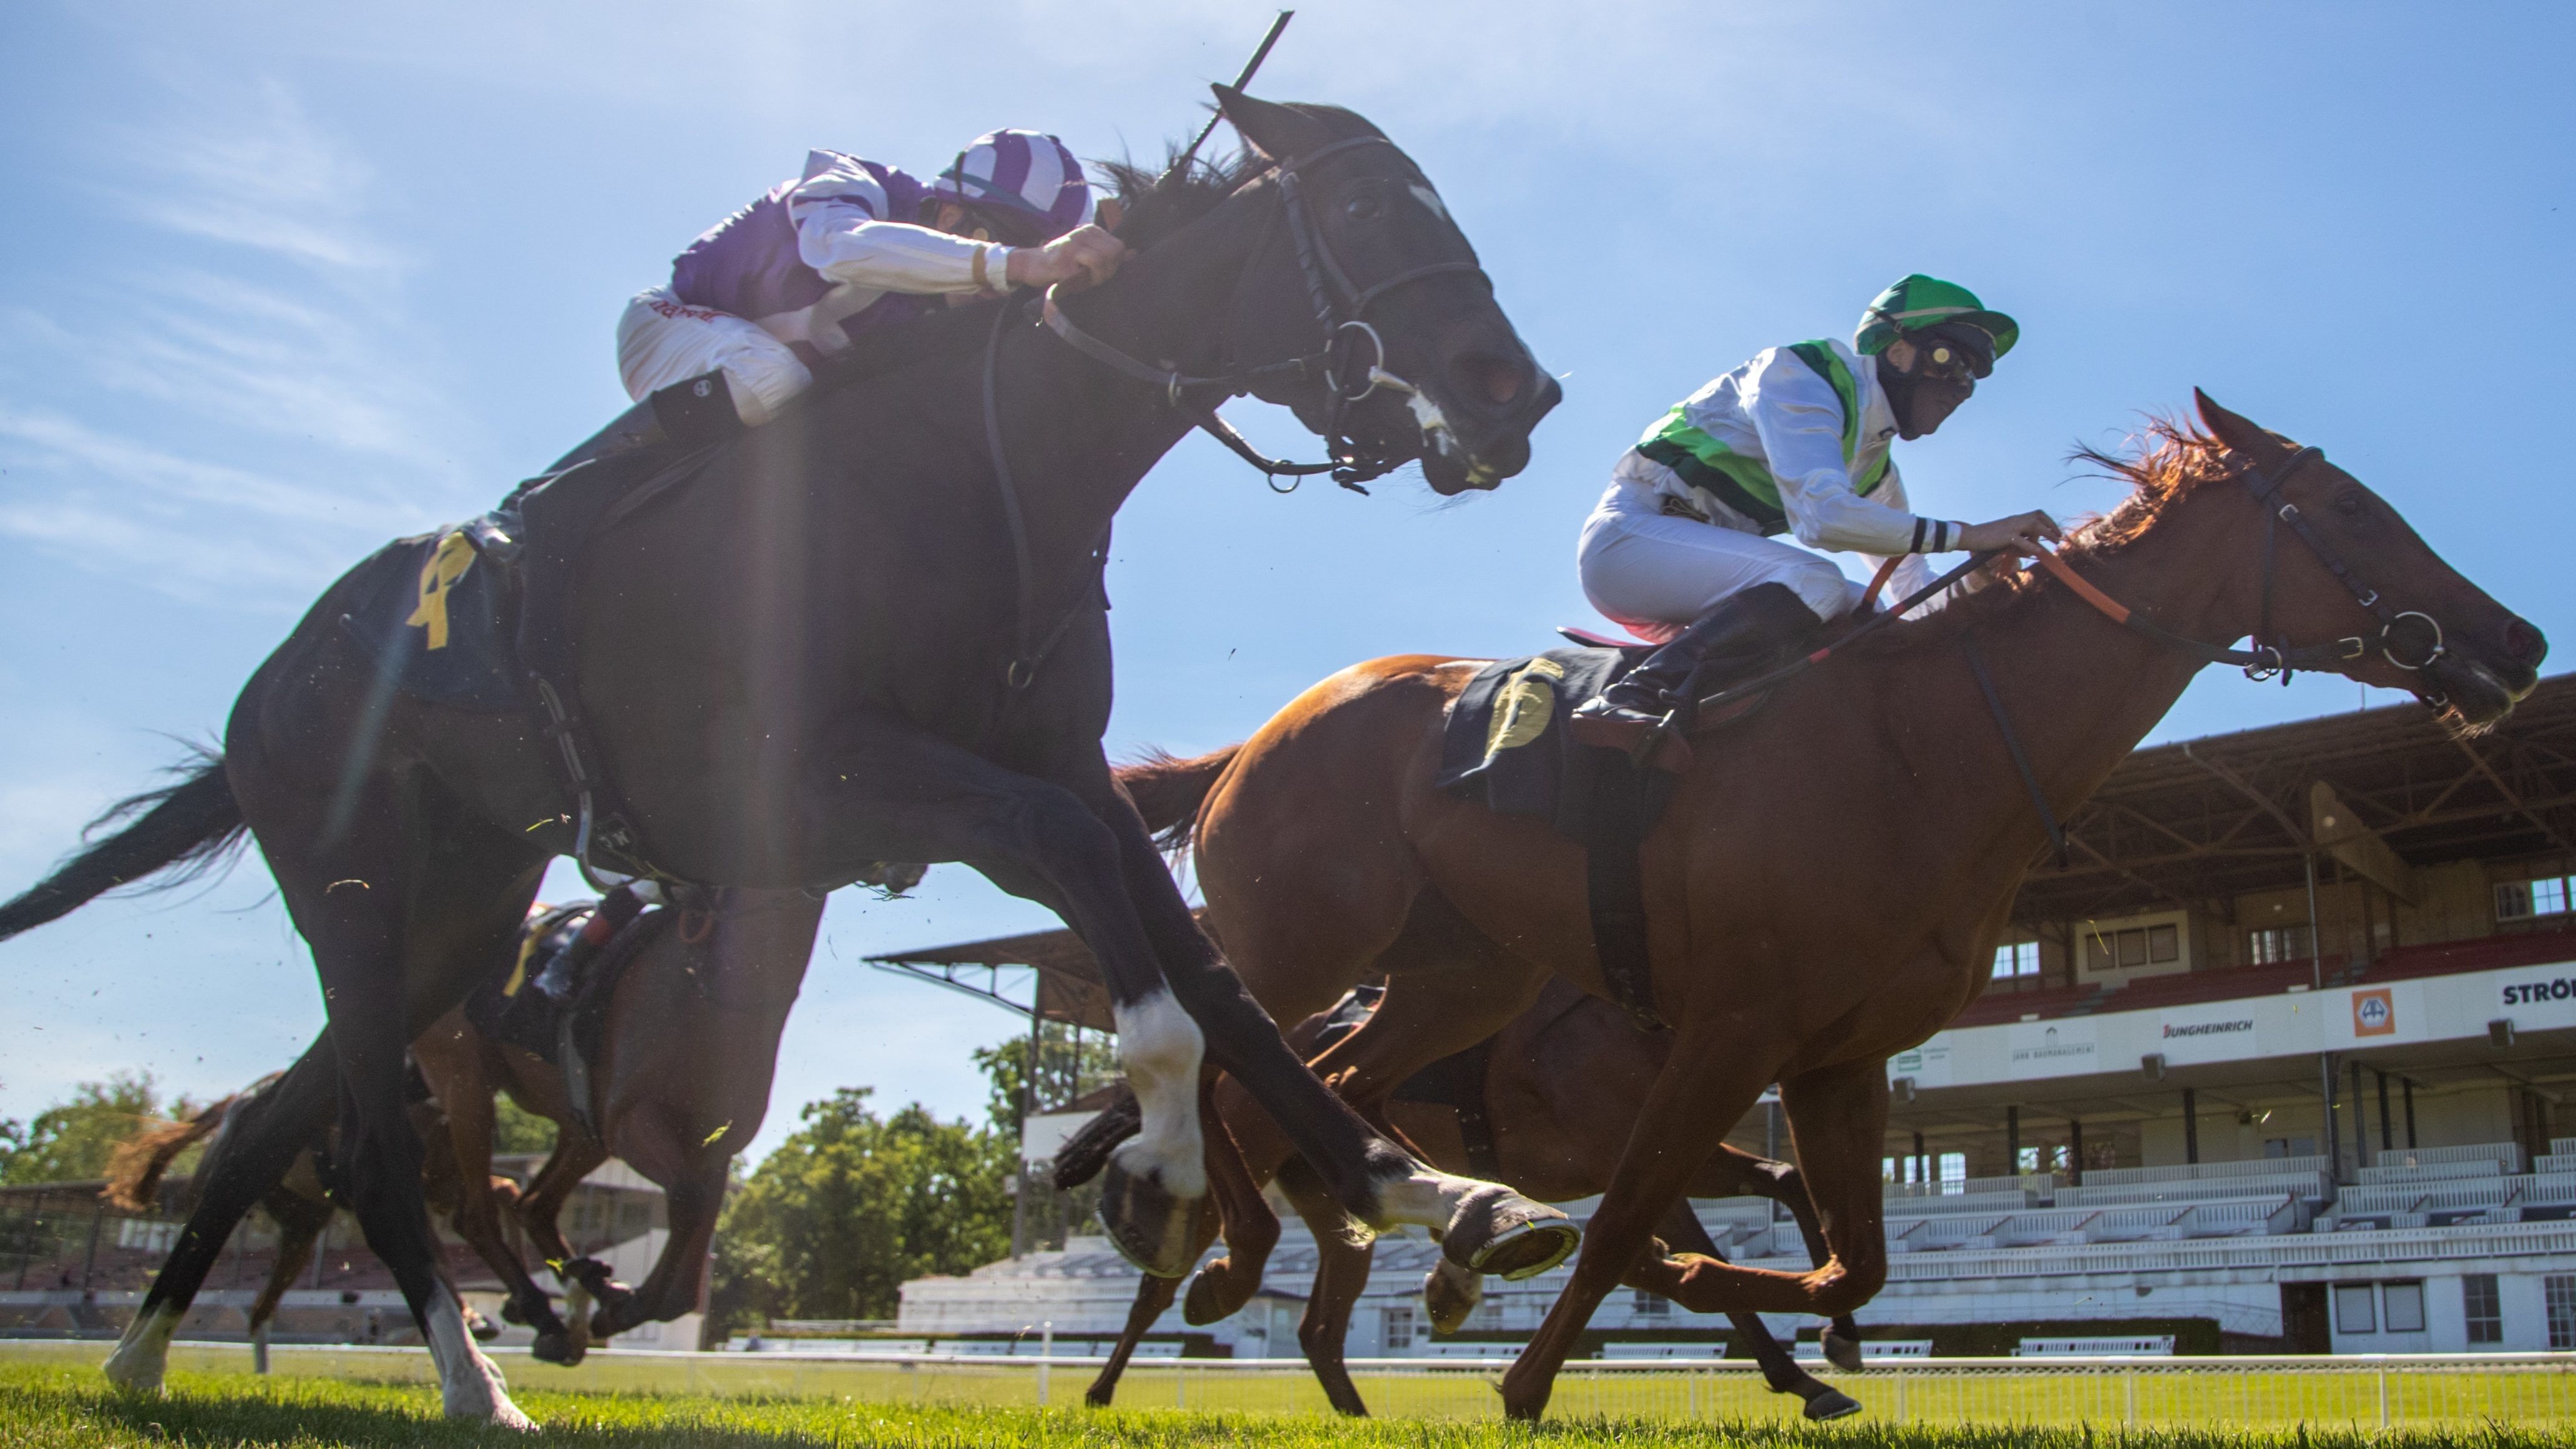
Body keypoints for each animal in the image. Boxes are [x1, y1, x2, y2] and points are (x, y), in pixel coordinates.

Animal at [100, 882, 819, 1372]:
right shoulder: (633, 1122)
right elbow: (683, 1228)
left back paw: (567, 1294)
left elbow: (687, 1267)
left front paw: (614, 1300)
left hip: (563, 1128)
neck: (715, 980)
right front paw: (607, 1305)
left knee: (528, 1202)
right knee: (482, 1210)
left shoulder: (708, 1145)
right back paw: (541, 1310)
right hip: (467, 1086)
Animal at [1076, 969, 1865, 1413]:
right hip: (1243, 1164)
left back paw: (1363, 1410)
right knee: (1161, 1284)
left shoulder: (1677, 1149)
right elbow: (1694, 1260)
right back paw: (1106, 1384)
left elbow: (1786, 1180)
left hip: (1333, 1209)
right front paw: (1801, 1375)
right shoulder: (1633, 1155)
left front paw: (1838, 1339)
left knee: (1321, 1330)